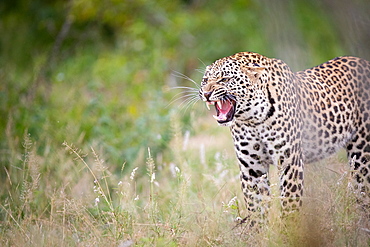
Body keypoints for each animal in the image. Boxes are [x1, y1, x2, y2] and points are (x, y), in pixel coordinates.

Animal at [199, 51, 370, 223]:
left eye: (225, 79)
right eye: (205, 80)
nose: (206, 94)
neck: (252, 120)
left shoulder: (290, 162)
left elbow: (290, 204)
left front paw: (288, 228)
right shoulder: (252, 168)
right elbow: (256, 208)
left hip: (362, 153)